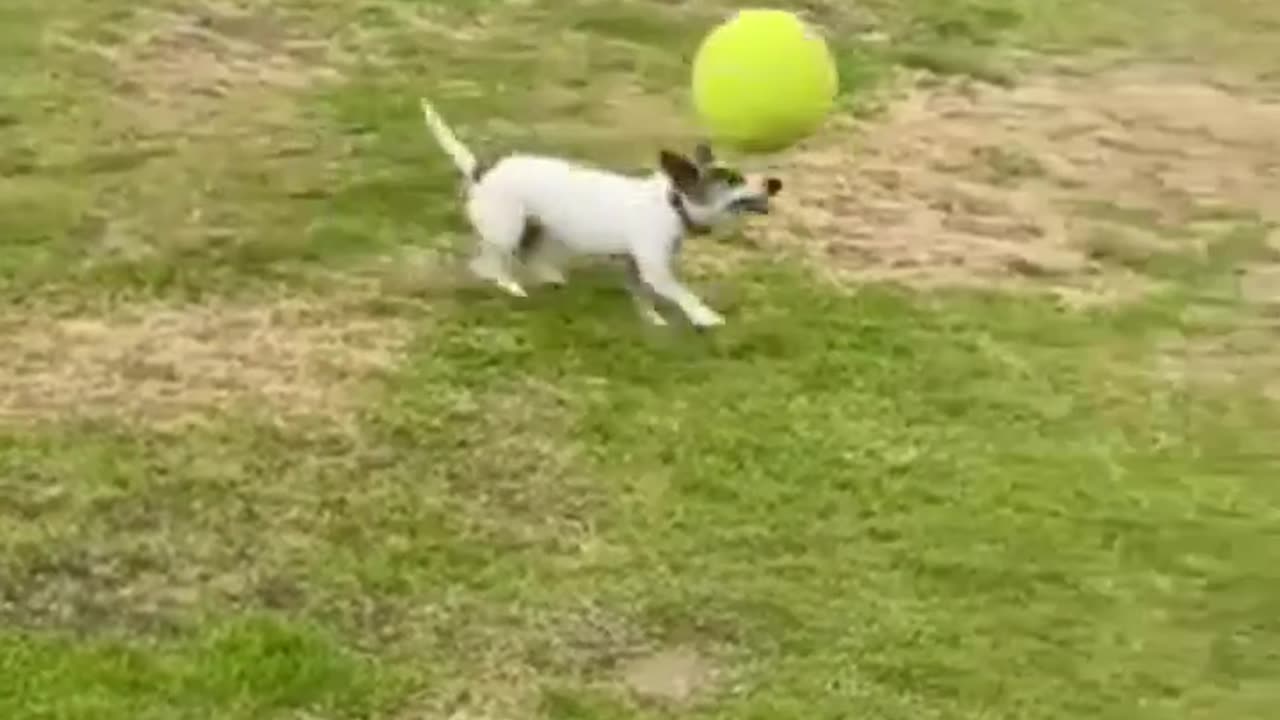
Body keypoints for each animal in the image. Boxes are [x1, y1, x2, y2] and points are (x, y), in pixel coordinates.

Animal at [419, 96, 778, 326]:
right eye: (732, 180)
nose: (776, 183)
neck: (671, 203)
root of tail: (481, 170)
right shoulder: (655, 269)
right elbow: (683, 294)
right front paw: (705, 316)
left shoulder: (637, 265)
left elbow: (641, 295)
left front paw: (653, 319)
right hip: (506, 228)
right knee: (488, 264)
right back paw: (512, 288)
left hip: (534, 226)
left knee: (527, 256)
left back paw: (550, 278)